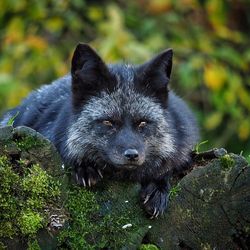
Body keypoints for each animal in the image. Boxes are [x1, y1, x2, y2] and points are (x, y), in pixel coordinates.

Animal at [0, 44, 199, 217]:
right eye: (108, 122)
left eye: (142, 123)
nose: (132, 155)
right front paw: (85, 168)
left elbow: (168, 166)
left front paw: (157, 187)